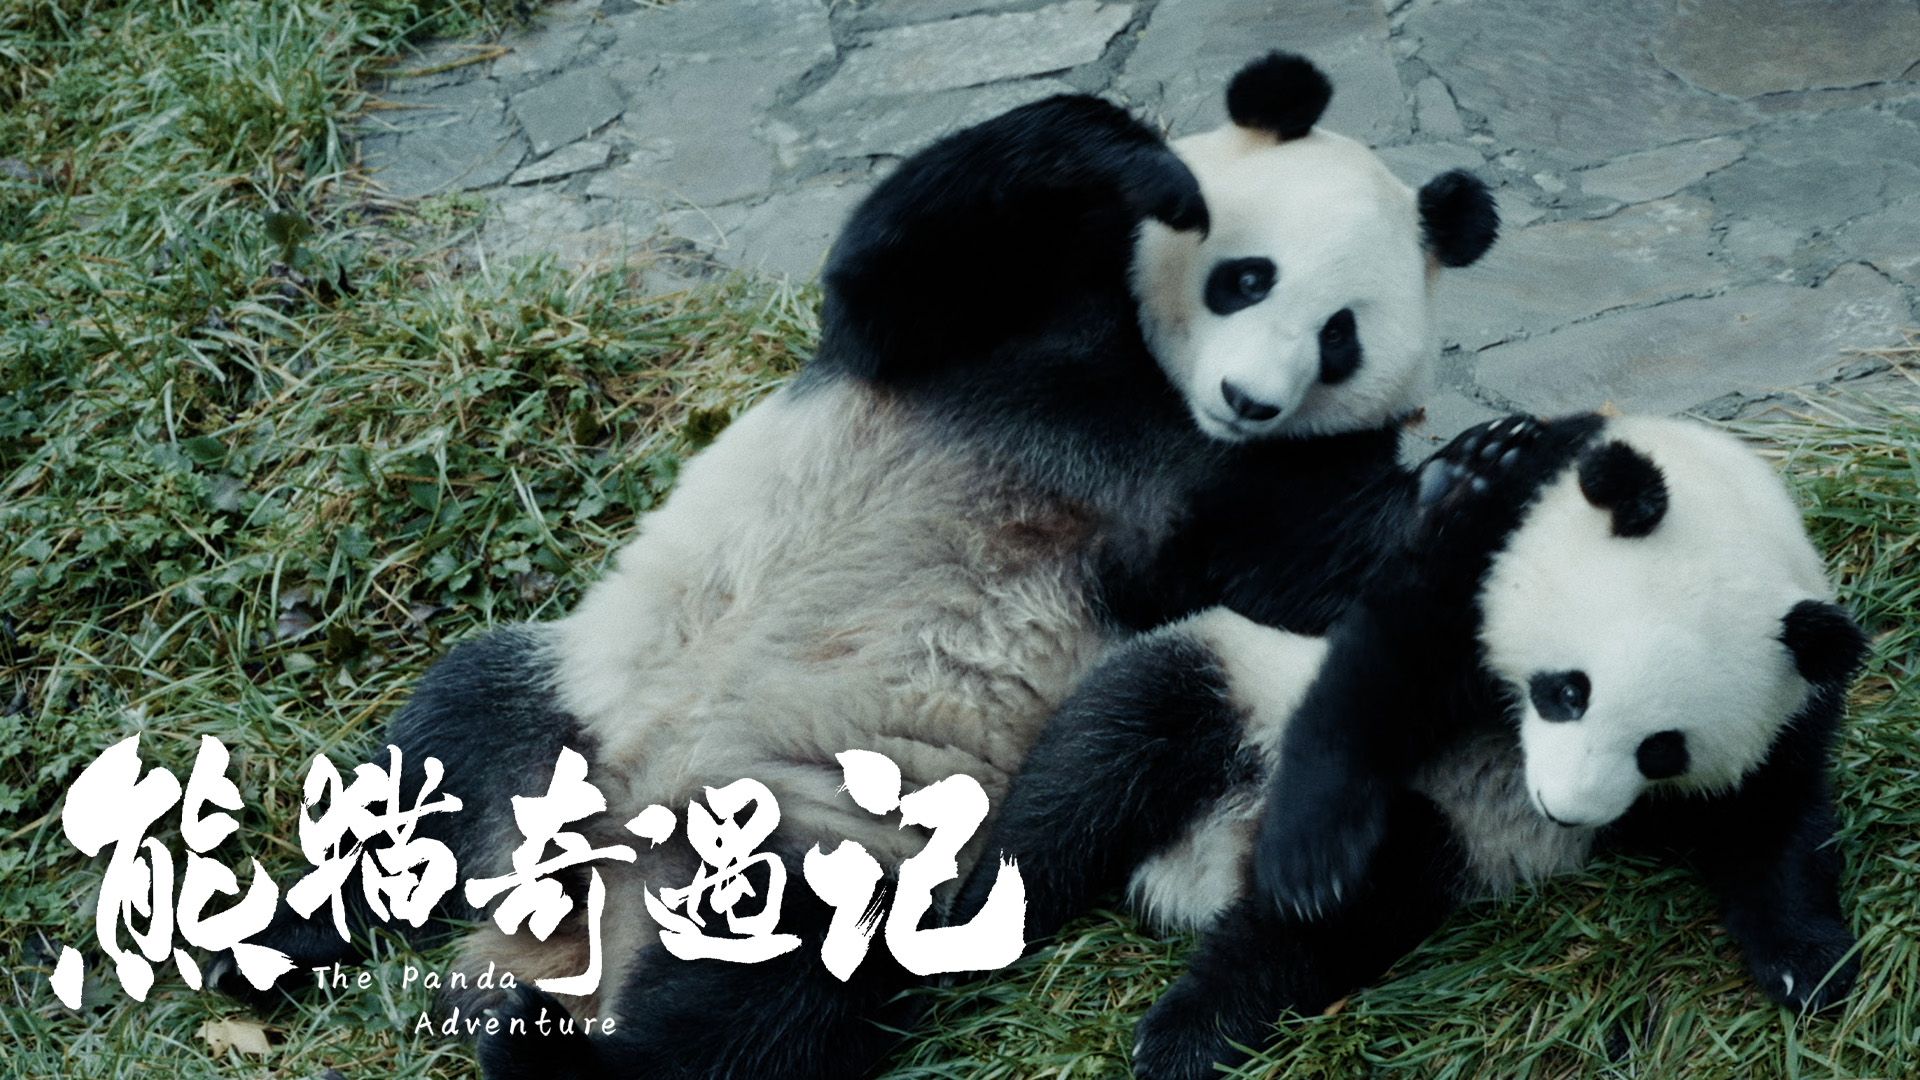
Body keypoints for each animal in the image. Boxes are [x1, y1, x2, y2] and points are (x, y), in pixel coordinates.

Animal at [214, 54, 1499, 1080]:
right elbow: (894, 264)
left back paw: (543, 1050)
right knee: (432, 761)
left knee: (759, 1001)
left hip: (799, 837)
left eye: (1341, 336)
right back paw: (269, 939)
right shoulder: (1009, 324)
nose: (1251, 397)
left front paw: (1474, 478)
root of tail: (573, 898)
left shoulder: (1252, 497)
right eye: (1246, 276)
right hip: (574, 700)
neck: (1155, 398)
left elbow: (1282, 573)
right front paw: (1126, 154)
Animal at [961, 412, 1870, 1080]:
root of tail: (1198, 866)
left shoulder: (1795, 692)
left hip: (1432, 835)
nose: (1561, 811)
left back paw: (1193, 1029)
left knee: (1323, 925)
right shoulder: (1482, 551)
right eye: (1567, 690)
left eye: (1661, 750)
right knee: (1088, 778)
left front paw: (1808, 963)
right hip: (1225, 671)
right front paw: (1311, 853)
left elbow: (1771, 813)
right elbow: (1370, 657)